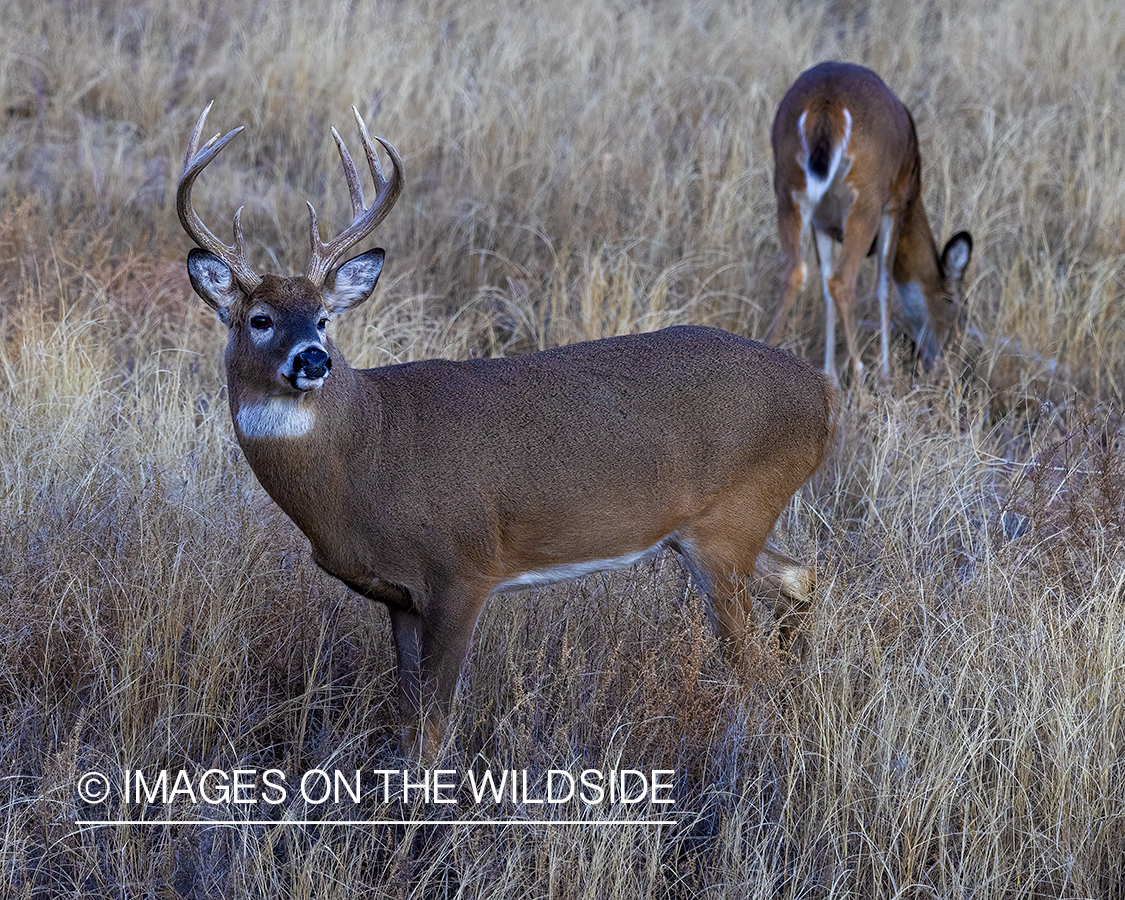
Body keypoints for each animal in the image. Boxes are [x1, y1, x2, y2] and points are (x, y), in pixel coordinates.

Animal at [180, 101, 841, 756]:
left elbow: (432, 725)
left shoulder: (462, 569)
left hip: (731, 522)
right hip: (717, 528)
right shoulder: (399, 597)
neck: (365, 451)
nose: (314, 359)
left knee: (751, 663)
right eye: (260, 319)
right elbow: (407, 716)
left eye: (323, 318)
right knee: (800, 576)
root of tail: (824, 394)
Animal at [765, 61, 976, 382]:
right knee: (842, 280)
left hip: (789, 190)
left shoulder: (821, 222)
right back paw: (863, 380)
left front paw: (828, 371)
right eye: (957, 308)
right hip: (865, 200)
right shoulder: (894, 206)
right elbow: (884, 285)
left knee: (795, 272)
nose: (944, 363)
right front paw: (886, 374)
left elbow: (824, 287)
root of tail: (826, 103)